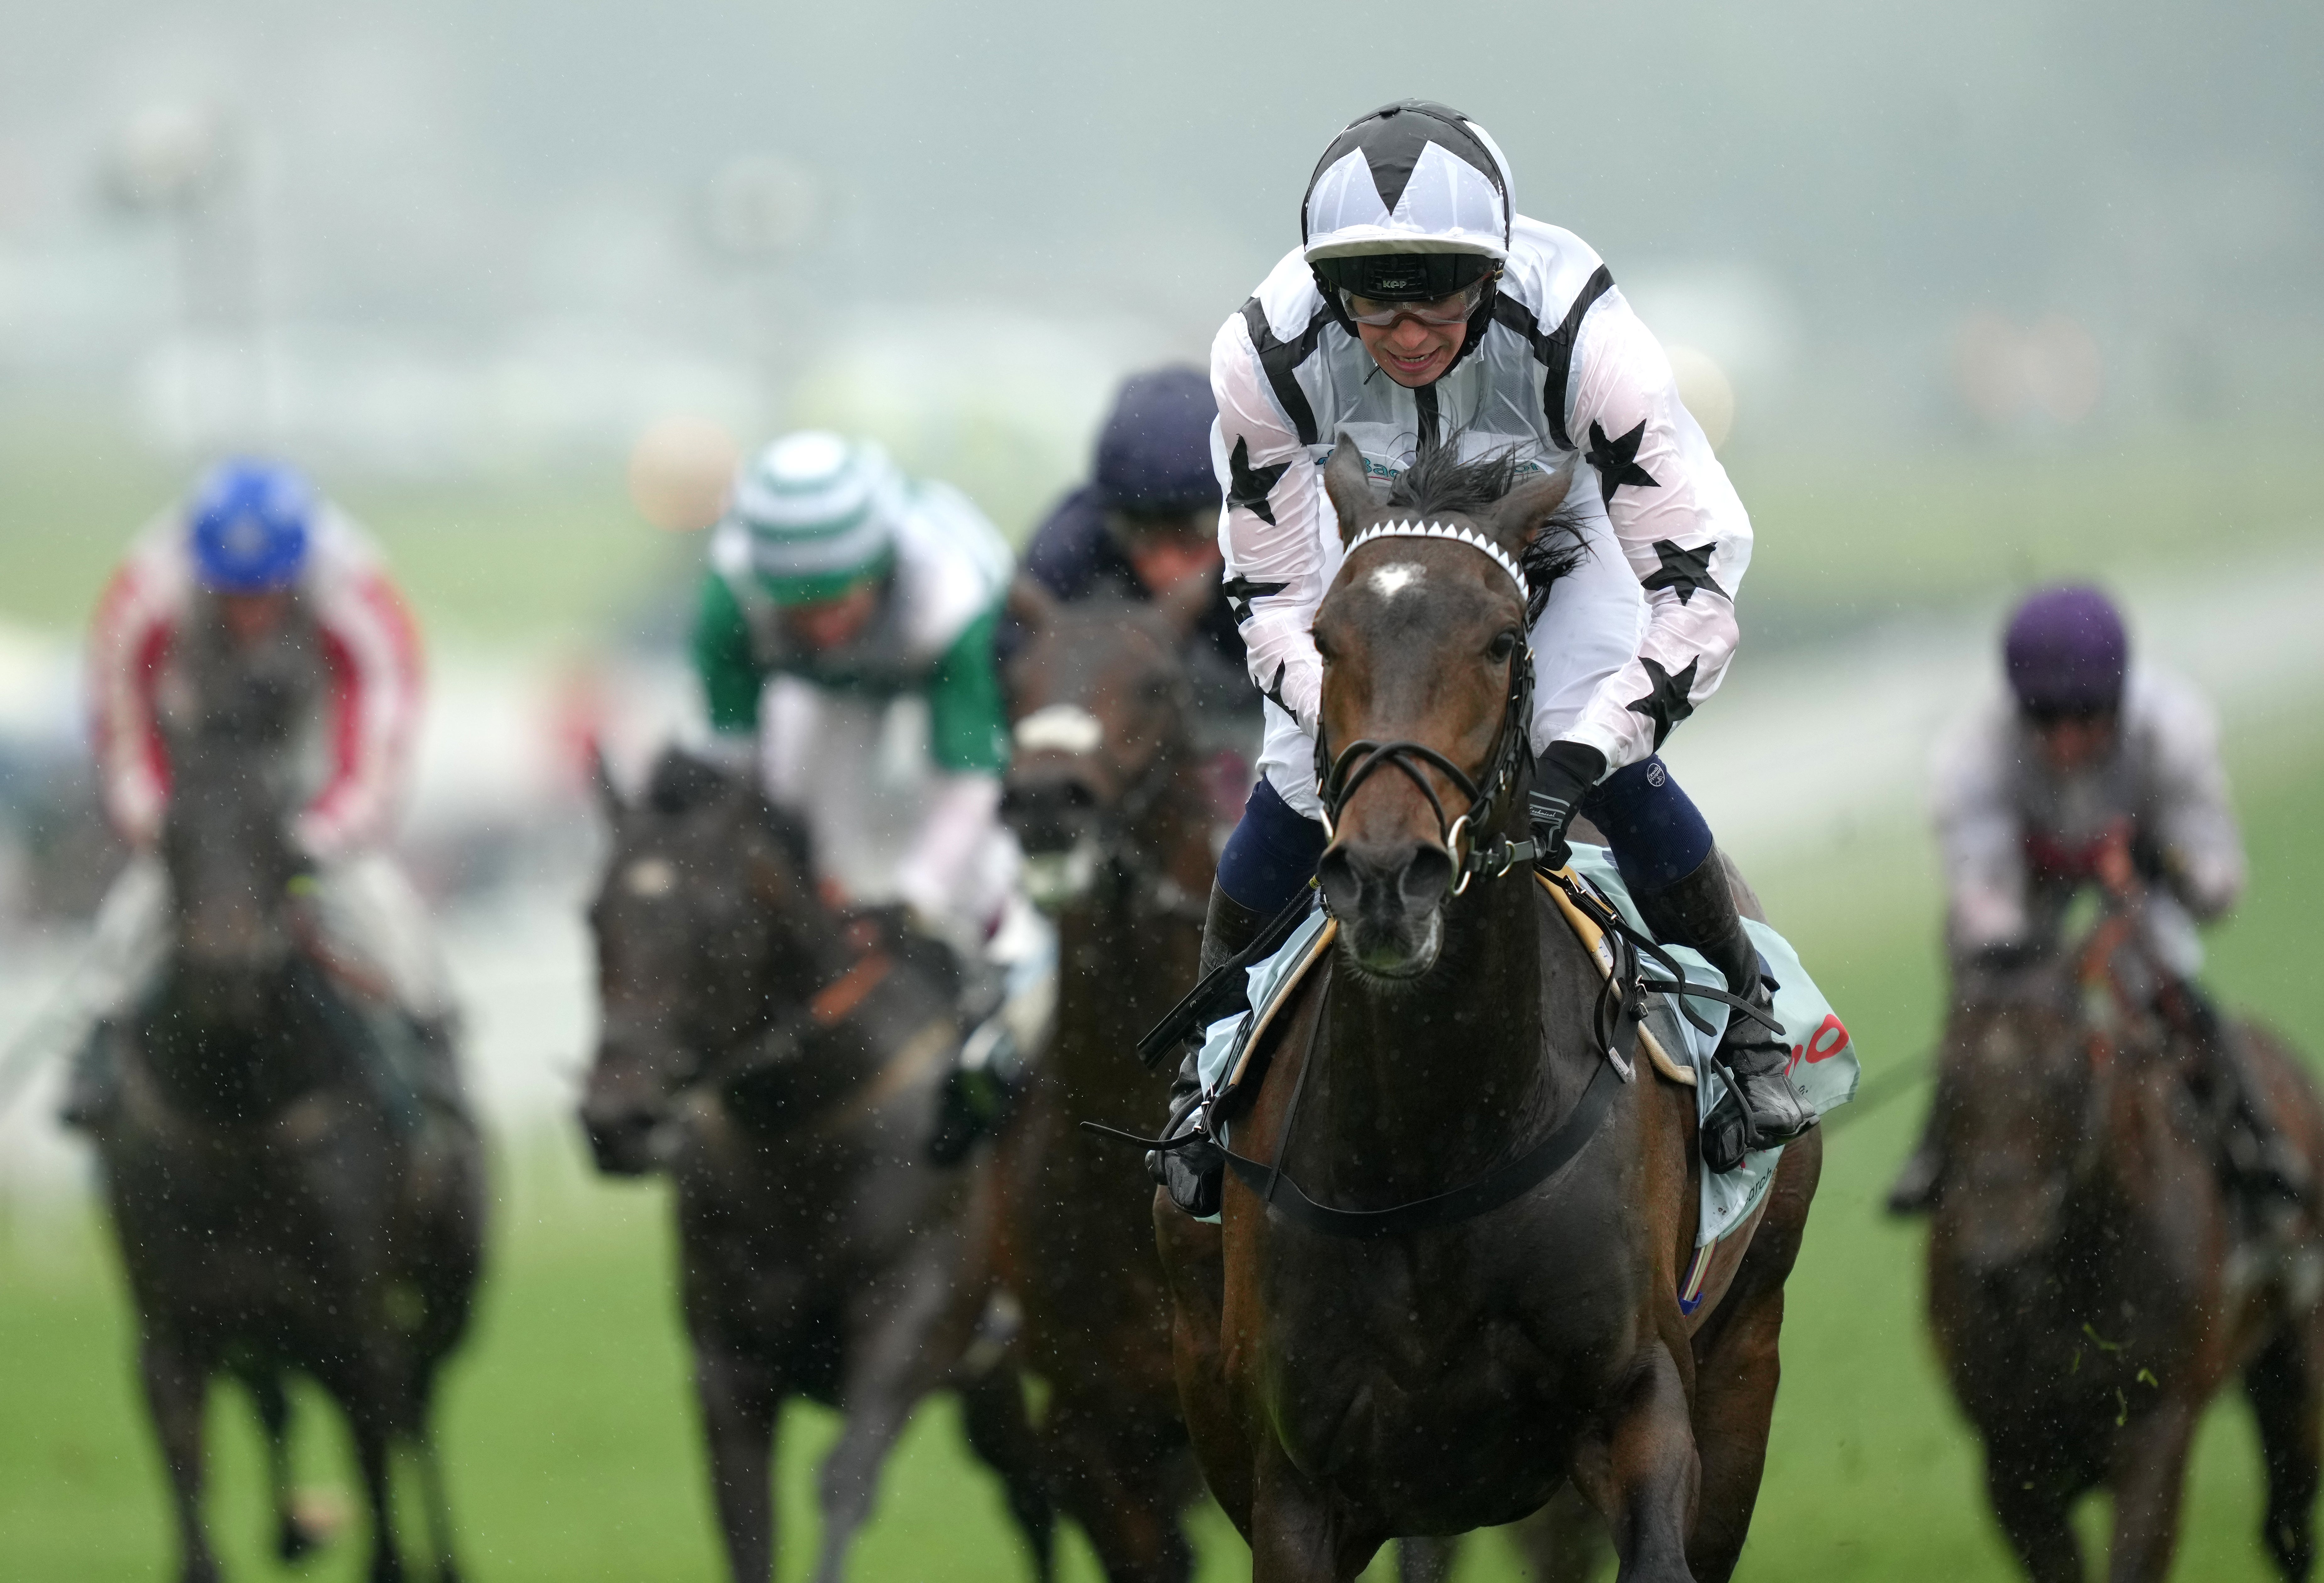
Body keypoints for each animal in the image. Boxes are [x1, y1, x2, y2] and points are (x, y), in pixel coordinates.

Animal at [92, 600, 486, 1571]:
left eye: (276, 830)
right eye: (172, 836)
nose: (227, 970)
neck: (241, 1110)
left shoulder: (354, 1327)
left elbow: (384, 1509)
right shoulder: (172, 1336)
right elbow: (194, 1517)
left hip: (451, 1288)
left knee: (420, 1409)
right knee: (285, 1404)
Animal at [581, 753, 1055, 1580]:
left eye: (717, 923)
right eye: (594, 917)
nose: (616, 1121)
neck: (801, 1137)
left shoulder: (911, 1317)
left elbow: (844, 1481)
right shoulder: (727, 1361)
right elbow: (746, 1518)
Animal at [1153, 442, 1822, 1580]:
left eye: (1503, 640)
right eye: (1326, 638)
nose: (1388, 877)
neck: (1432, 1137)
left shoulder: (1643, 1401)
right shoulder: (1294, 1477)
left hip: (1751, 1359)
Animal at [1924, 902, 2324, 1580]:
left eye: (2064, 1074)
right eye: (1949, 1078)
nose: (2000, 1254)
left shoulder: (2153, 1431)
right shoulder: (2011, 1461)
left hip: (2299, 1365)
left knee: (2289, 1516)